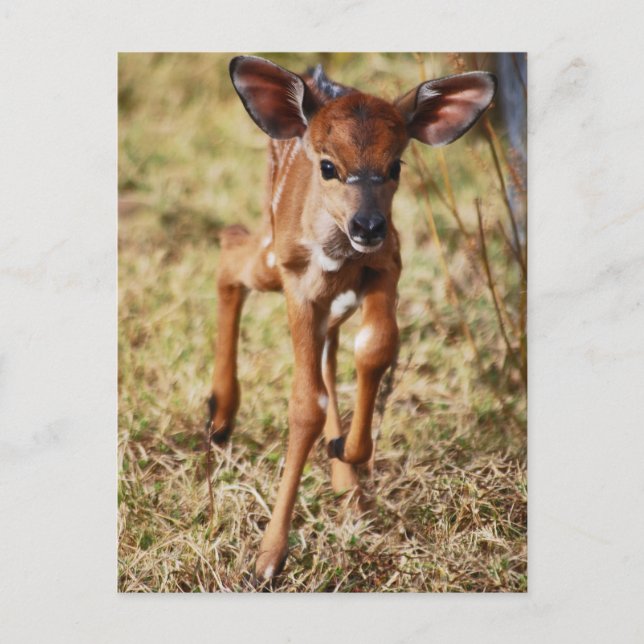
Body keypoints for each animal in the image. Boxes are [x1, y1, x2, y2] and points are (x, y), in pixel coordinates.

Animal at [205, 55, 497, 582]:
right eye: (328, 165)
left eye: (395, 164)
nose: (369, 225)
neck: (336, 252)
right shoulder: (298, 284)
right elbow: (304, 405)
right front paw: (267, 559)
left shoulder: (386, 266)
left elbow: (374, 349)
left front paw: (348, 454)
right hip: (272, 262)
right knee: (231, 247)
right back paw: (219, 417)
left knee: (328, 348)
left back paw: (345, 482)